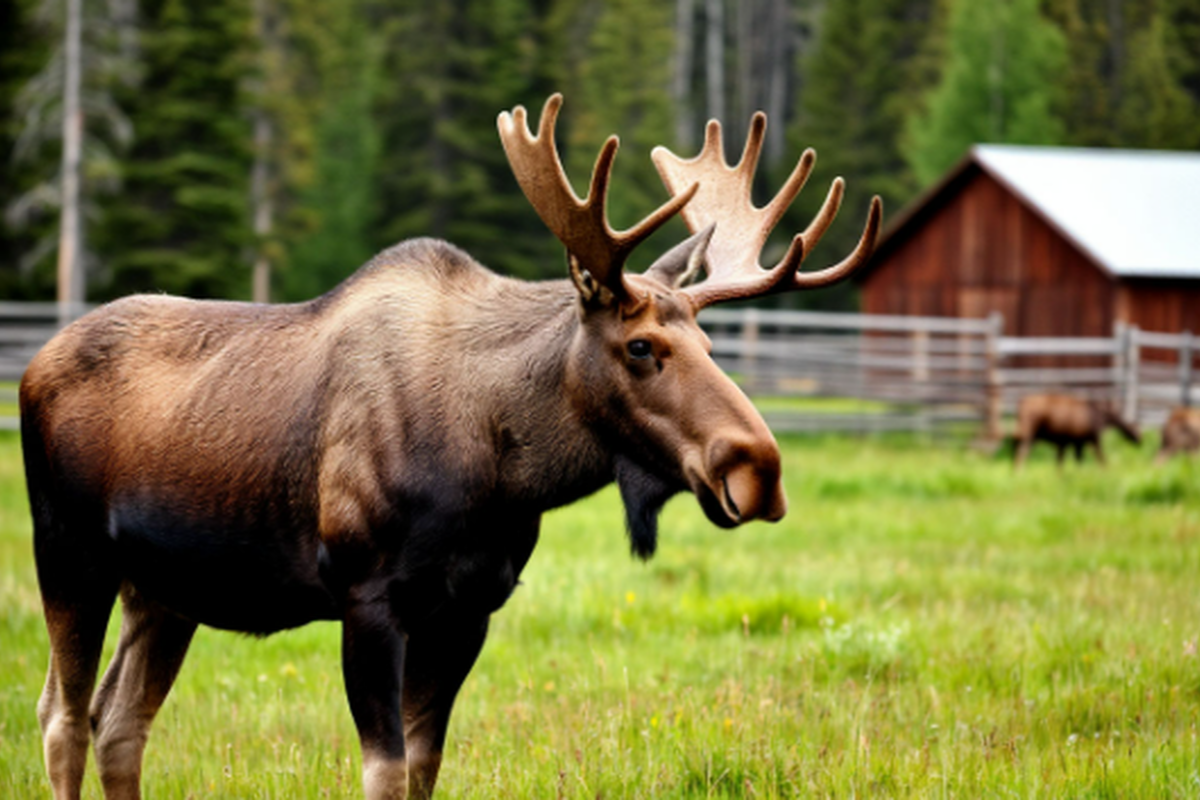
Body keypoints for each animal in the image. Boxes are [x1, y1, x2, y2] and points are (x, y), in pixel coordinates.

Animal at [21, 94, 881, 800]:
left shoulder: (470, 608)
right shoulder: (366, 596)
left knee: (119, 722)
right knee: (62, 716)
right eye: (641, 346)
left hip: (165, 589)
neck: (501, 475)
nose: (759, 468)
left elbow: (426, 767)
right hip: (68, 552)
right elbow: (386, 771)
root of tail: (32, 365)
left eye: (706, 341)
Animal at [1012, 393, 1141, 469]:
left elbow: (1077, 461)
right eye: (1136, 429)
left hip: (1030, 436)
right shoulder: (1092, 438)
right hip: (1028, 434)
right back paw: (1019, 472)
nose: (1140, 441)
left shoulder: (1077, 441)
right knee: (1021, 453)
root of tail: (1021, 403)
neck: (1103, 419)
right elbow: (1101, 458)